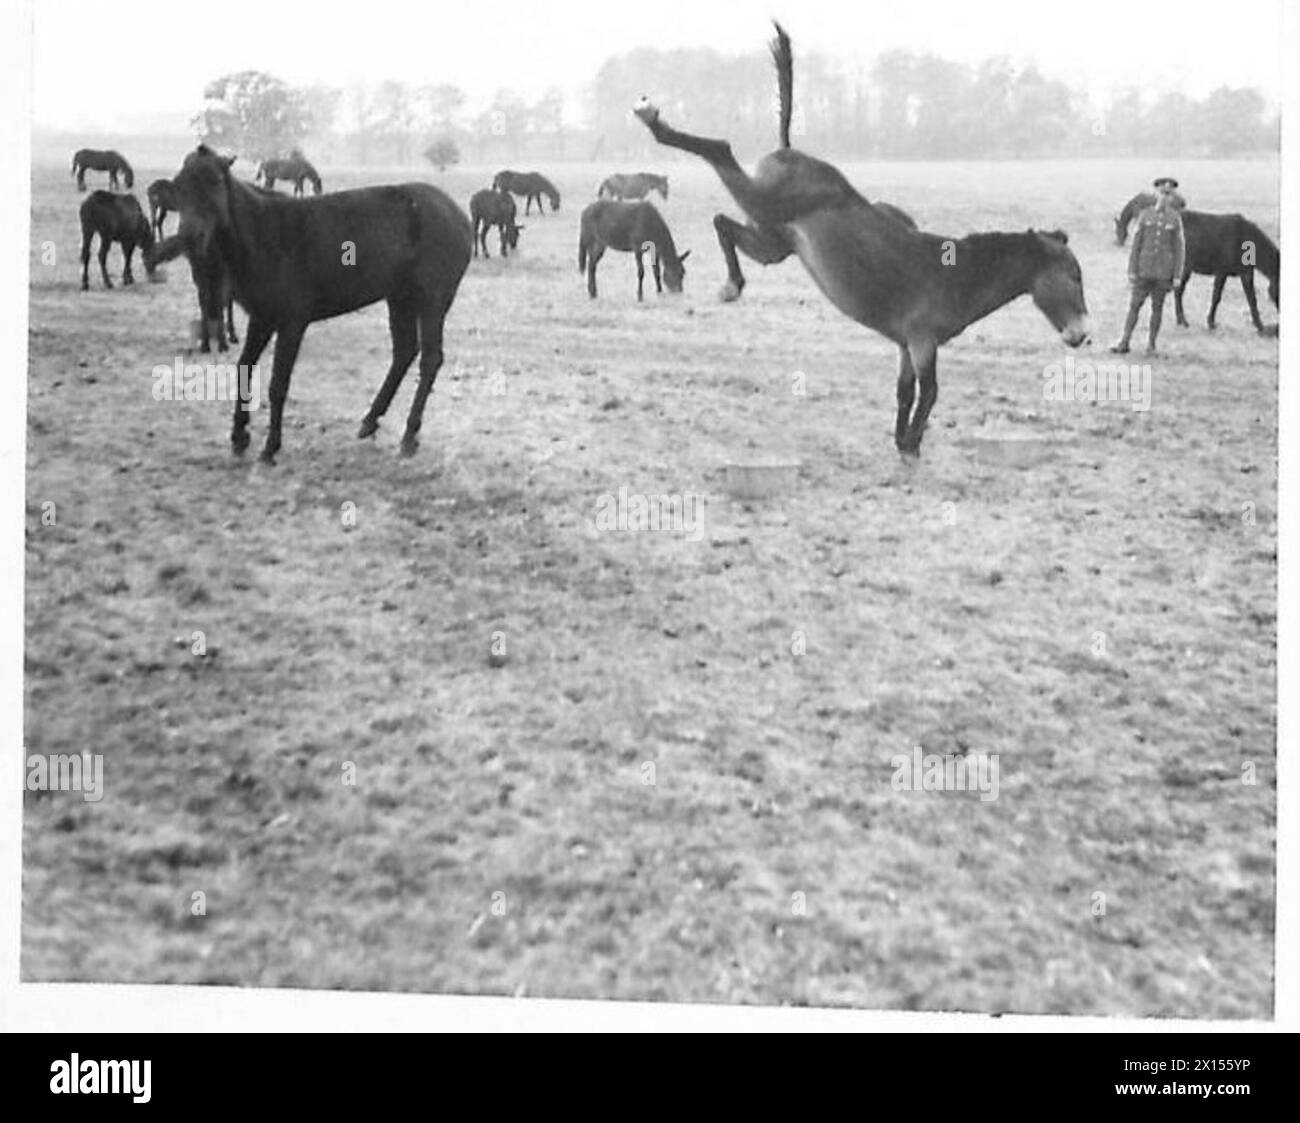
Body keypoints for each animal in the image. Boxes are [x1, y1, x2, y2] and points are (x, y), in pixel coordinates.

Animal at [170, 145, 471, 461]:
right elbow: (244, 368)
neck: (266, 236)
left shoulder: (291, 323)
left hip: (433, 299)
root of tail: (459, 215)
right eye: (179, 186)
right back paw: (370, 420)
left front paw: (271, 445)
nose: (190, 237)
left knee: (430, 359)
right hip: (400, 297)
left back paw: (410, 434)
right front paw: (240, 436)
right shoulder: (262, 318)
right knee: (404, 352)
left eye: (215, 181)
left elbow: (278, 383)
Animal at [633, 22, 1089, 457]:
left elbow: (906, 392)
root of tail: (789, 150)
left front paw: (902, 441)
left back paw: (733, 284)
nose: (1082, 335)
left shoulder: (907, 345)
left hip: (773, 242)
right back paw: (654, 122)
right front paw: (911, 446)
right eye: (1075, 276)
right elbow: (930, 394)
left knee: (723, 223)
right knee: (720, 150)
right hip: (763, 204)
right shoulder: (923, 341)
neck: (955, 273)